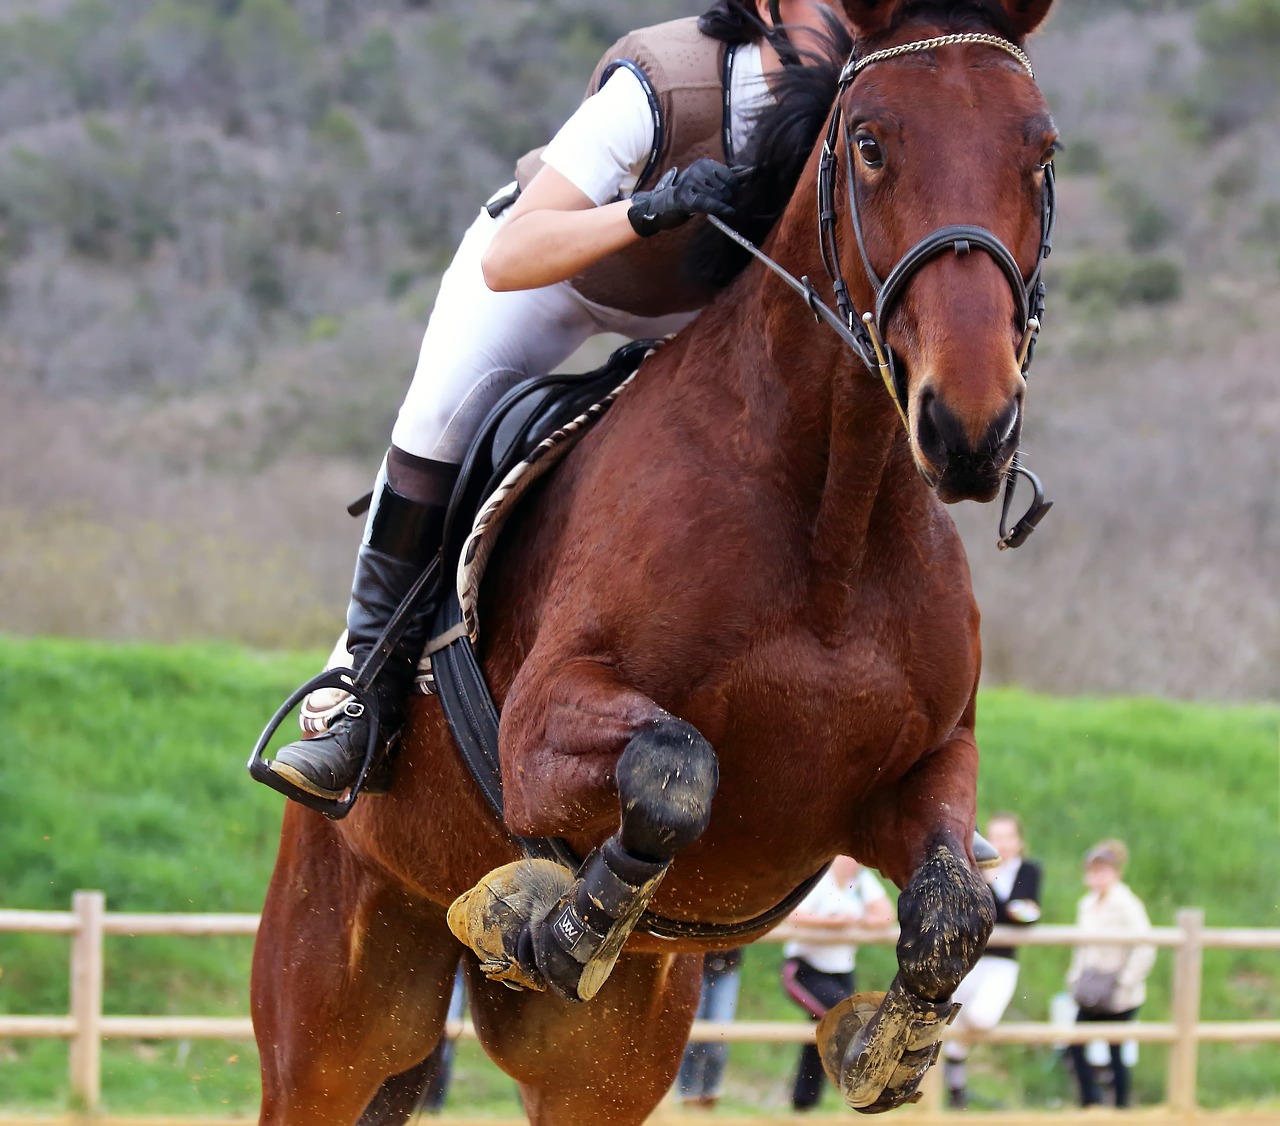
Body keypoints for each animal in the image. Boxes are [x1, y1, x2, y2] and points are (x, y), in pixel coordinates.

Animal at [249, 4, 1059, 1120]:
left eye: (1042, 153)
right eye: (869, 144)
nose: (968, 427)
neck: (834, 516)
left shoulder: (921, 773)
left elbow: (954, 905)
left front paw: (882, 1044)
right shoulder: (542, 730)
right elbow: (676, 769)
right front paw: (549, 923)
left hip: (600, 1065)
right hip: (329, 1027)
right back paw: (345, 744)